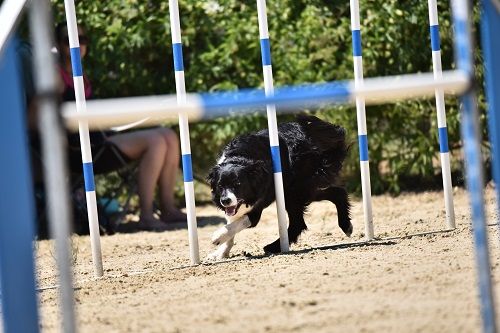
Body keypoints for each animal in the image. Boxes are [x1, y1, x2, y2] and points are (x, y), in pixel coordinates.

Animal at [207, 114, 352, 260]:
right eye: (220, 186)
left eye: (238, 184)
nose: (225, 201)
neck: (239, 157)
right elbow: (231, 223)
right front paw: (221, 252)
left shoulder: (256, 204)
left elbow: (238, 223)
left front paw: (217, 236)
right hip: (300, 189)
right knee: (337, 193)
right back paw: (346, 225)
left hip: (295, 190)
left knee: (298, 222)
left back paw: (273, 246)